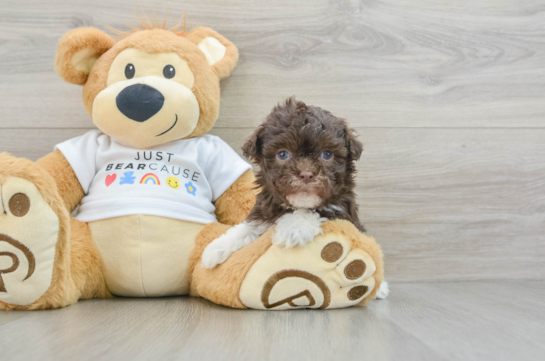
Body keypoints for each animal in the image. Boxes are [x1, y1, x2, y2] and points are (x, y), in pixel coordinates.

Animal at [202, 97, 364, 268]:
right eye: (283, 154)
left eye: (327, 154)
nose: (306, 174)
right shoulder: (264, 211)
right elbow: (248, 227)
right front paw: (217, 247)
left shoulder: (344, 212)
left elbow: (323, 209)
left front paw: (294, 227)